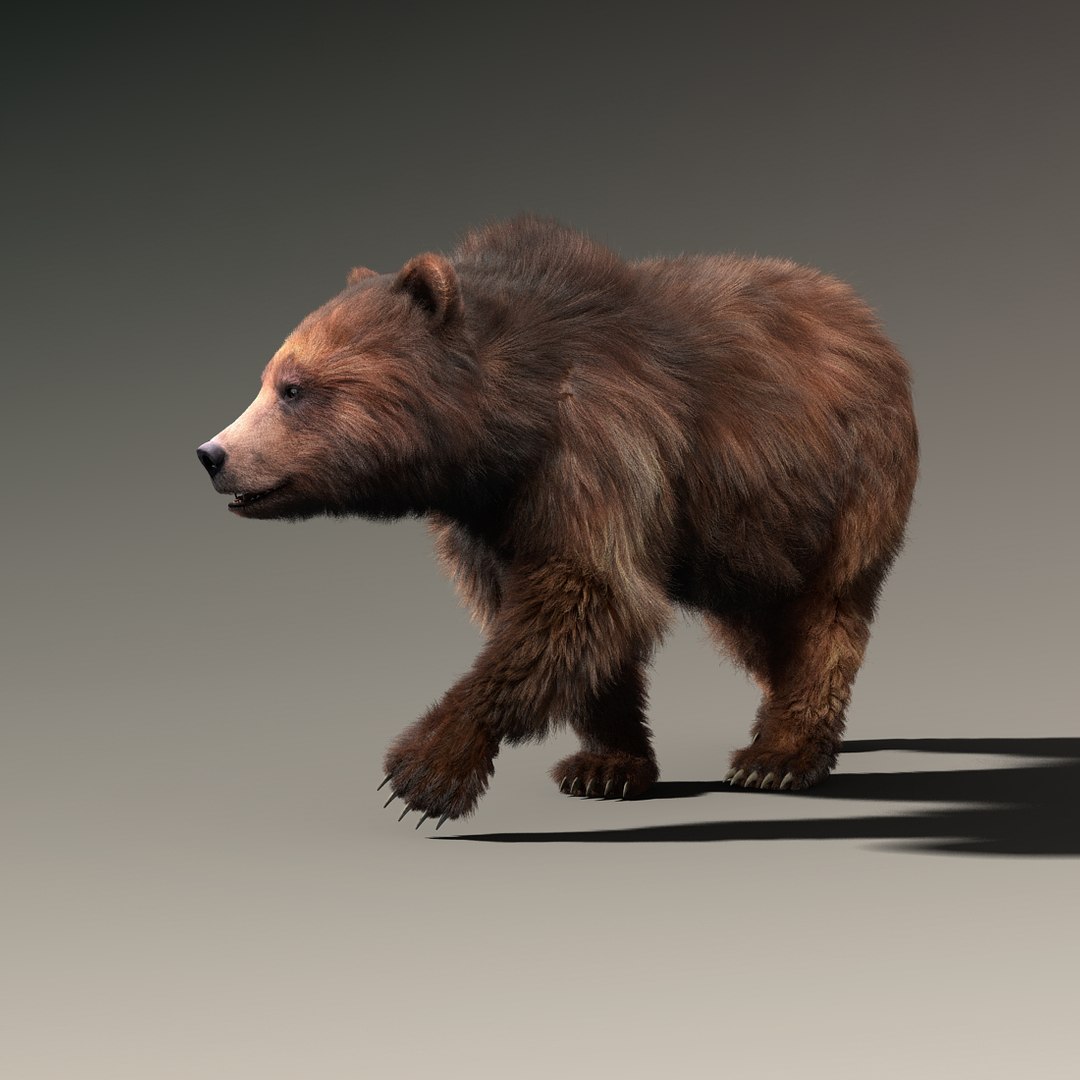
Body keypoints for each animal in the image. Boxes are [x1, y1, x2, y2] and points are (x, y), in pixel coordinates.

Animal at [197, 216, 918, 830]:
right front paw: (607, 764)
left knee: (825, 610)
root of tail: (868, 320)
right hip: (749, 530)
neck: (510, 424)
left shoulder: (600, 447)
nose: (213, 454)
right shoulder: (493, 517)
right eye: (269, 377)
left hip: (847, 485)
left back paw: (781, 753)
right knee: (760, 624)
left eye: (293, 388)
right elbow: (574, 623)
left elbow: (583, 594)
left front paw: (424, 769)